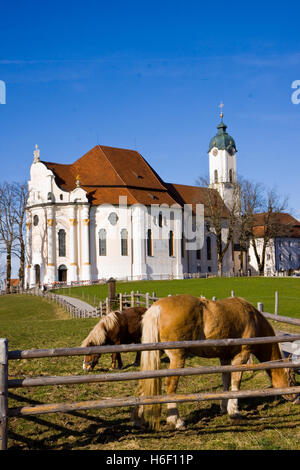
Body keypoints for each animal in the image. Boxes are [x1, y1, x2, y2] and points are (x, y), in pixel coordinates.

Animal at [134, 296, 298, 432]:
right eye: (291, 376)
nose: (296, 398)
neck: (253, 319)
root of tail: (157, 307)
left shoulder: (224, 358)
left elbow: (226, 381)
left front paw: (224, 407)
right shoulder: (241, 356)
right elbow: (236, 382)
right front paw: (234, 411)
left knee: (143, 383)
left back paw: (138, 420)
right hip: (177, 358)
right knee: (171, 386)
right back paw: (177, 421)